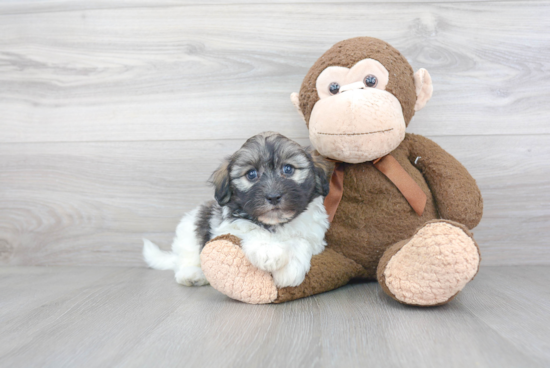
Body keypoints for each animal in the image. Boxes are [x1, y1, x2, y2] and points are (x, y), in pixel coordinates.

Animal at [142, 132, 332, 288]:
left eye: (288, 169)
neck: (275, 223)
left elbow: (301, 240)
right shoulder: (225, 227)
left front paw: (290, 270)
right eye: (251, 174)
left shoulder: (315, 235)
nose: (273, 196)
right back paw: (192, 275)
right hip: (190, 230)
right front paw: (268, 250)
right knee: (187, 257)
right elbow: (251, 228)